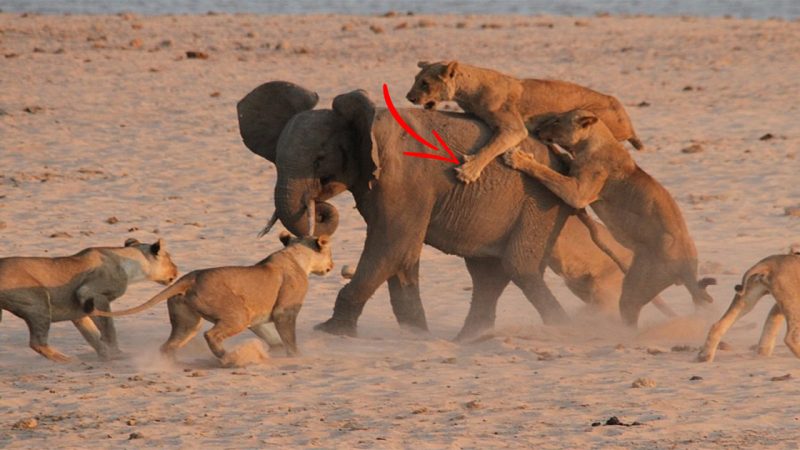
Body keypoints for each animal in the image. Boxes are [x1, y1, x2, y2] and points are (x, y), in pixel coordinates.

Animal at [0, 239, 177, 362]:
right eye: (169, 258)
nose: (177, 270)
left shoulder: (78, 311)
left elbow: (91, 334)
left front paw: (107, 355)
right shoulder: (91, 293)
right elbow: (109, 328)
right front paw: (116, 353)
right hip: (40, 302)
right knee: (37, 343)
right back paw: (67, 360)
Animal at [92, 234, 332, 360]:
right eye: (330, 252)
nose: (332, 265)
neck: (296, 256)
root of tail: (191, 277)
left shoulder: (256, 319)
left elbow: (271, 337)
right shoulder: (284, 311)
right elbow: (289, 338)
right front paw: (296, 357)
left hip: (187, 322)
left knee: (169, 345)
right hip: (237, 315)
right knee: (211, 335)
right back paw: (228, 358)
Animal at [234, 81, 604, 340]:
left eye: (319, 159)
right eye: (275, 157)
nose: (317, 205)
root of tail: (562, 158)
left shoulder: (403, 182)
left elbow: (390, 248)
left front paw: (330, 332)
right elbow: (402, 258)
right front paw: (416, 335)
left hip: (543, 202)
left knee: (519, 268)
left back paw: (565, 330)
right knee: (487, 275)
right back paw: (468, 339)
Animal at [406, 60, 644, 184]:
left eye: (425, 83)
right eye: (415, 80)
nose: (409, 97)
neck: (467, 92)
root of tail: (626, 117)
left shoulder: (514, 128)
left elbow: (491, 147)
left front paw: (469, 171)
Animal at [504, 109, 716, 326]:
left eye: (556, 121)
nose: (537, 130)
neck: (592, 142)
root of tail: (690, 267)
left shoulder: (578, 194)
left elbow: (547, 173)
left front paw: (519, 158)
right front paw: (560, 156)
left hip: (642, 282)